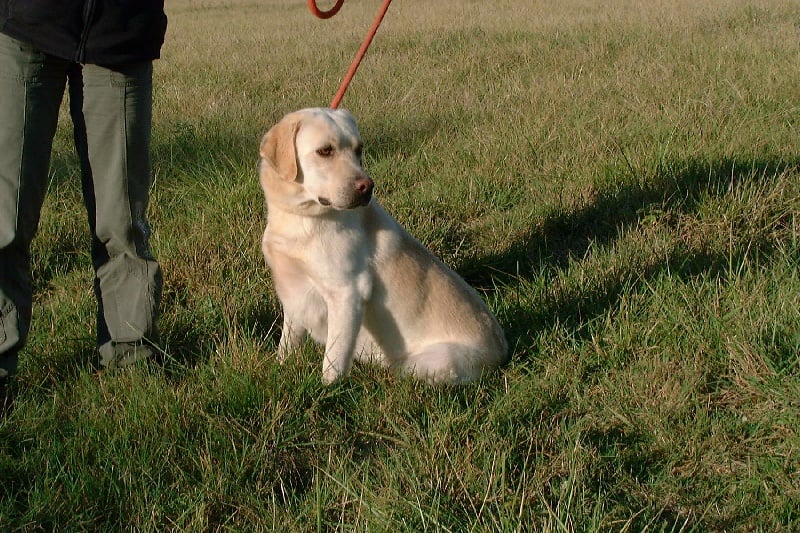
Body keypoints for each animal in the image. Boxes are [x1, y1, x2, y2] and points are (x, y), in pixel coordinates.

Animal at [260, 108, 510, 382]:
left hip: (429, 362)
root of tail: (503, 351)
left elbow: (333, 359)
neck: (300, 217)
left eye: (359, 149)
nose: (367, 186)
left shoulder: (347, 293)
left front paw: (328, 388)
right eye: (325, 150)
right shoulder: (293, 293)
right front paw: (280, 367)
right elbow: (287, 343)